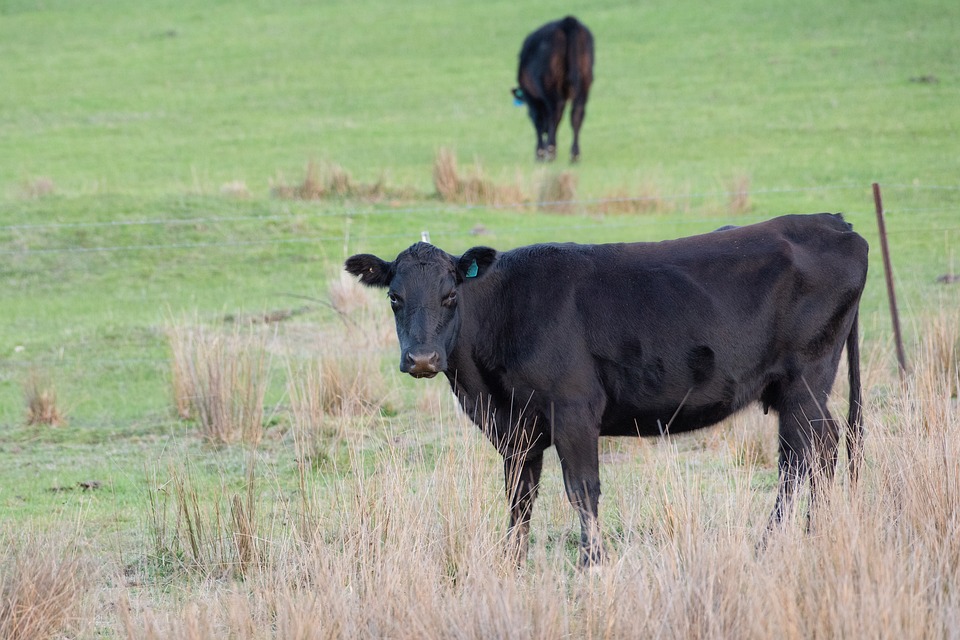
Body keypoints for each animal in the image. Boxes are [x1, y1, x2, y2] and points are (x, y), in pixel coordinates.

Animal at [344, 214, 872, 564]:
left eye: (451, 295)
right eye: (394, 298)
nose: (422, 359)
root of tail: (833, 223)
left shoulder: (574, 409)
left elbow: (582, 490)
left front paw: (591, 562)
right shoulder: (516, 428)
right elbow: (519, 495)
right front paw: (512, 561)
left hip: (804, 383)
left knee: (799, 460)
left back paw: (772, 543)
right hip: (804, 390)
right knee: (825, 448)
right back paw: (816, 533)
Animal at [510, 17, 592, 164]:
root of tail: (567, 21)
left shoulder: (532, 99)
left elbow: (537, 120)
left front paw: (539, 153)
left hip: (549, 84)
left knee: (555, 112)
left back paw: (551, 151)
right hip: (585, 80)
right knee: (577, 113)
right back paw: (574, 154)